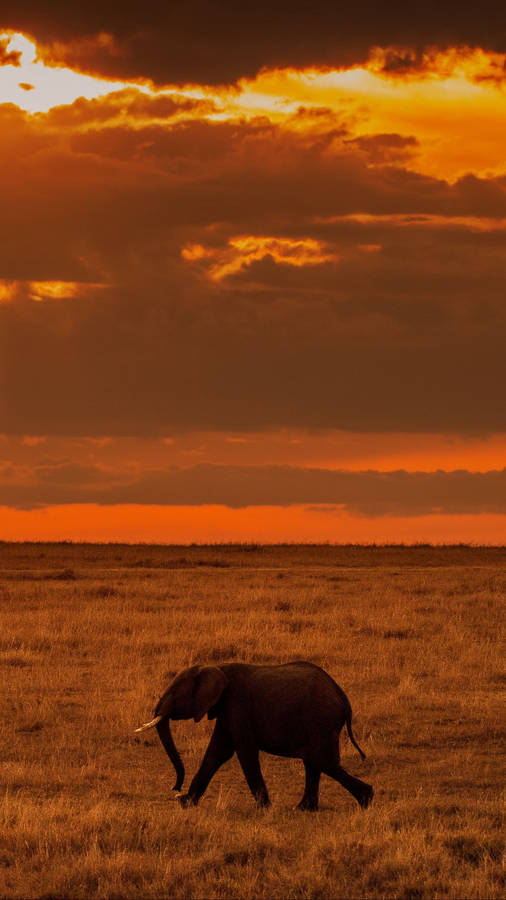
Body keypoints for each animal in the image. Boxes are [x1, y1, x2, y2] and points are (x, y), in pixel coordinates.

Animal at [135, 660, 373, 811]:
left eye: (175, 693)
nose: (175, 789)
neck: (216, 667)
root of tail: (343, 698)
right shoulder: (225, 710)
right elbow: (216, 753)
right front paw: (186, 803)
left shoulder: (237, 705)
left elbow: (244, 752)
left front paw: (263, 808)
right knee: (314, 763)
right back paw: (303, 808)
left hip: (321, 721)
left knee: (323, 761)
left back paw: (366, 799)